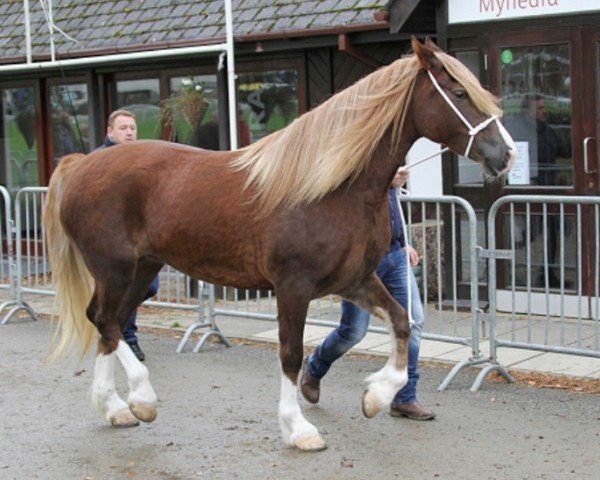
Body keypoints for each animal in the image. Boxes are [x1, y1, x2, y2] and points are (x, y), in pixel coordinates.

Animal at [43, 39, 516, 452]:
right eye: (459, 92)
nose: (506, 154)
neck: (331, 189)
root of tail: (82, 164)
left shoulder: (355, 281)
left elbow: (401, 322)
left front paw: (376, 397)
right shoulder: (293, 287)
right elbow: (291, 355)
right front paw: (299, 429)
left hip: (143, 270)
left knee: (106, 322)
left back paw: (115, 407)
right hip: (115, 269)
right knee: (106, 320)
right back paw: (141, 398)